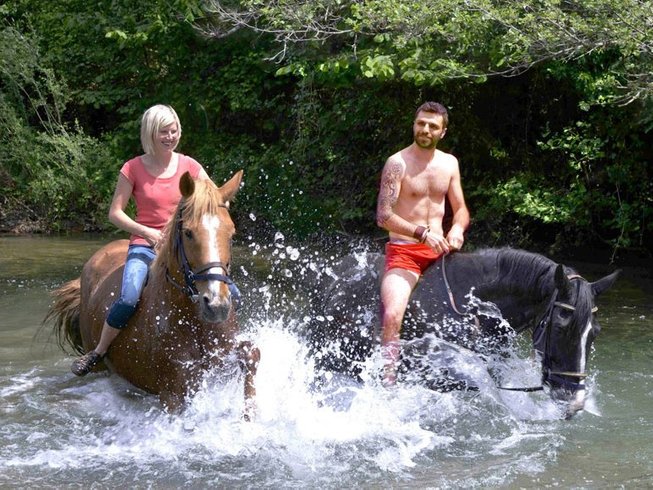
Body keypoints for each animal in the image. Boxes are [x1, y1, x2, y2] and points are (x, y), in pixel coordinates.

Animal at [45, 170, 258, 416]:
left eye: (231, 233)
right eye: (188, 233)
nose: (216, 306)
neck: (192, 320)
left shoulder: (224, 355)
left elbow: (252, 353)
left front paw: (249, 414)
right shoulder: (173, 394)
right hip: (97, 360)